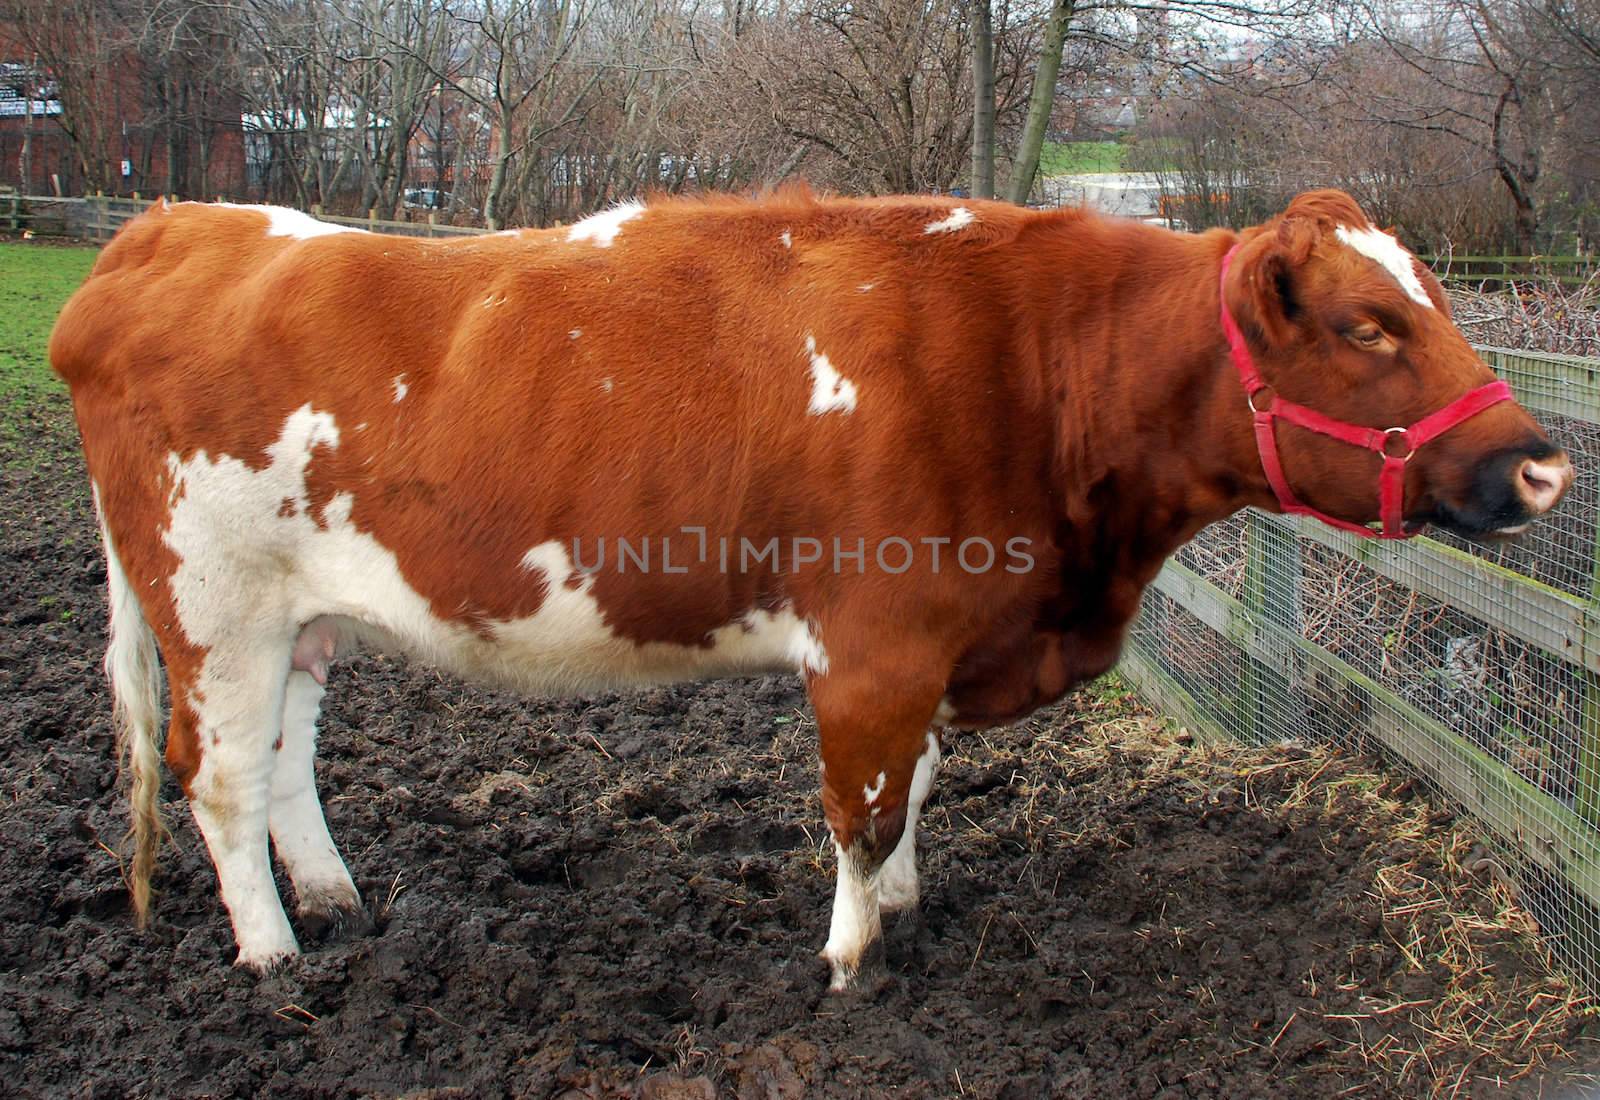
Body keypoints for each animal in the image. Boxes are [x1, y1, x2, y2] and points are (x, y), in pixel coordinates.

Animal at [53, 187, 1574, 991]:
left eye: (1433, 299)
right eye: (1369, 325)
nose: (1545, 461)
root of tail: (173, 226)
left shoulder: (937, 649)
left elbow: (919, 788)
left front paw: (899, 908)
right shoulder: (875, 647)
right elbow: (862, 806)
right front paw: (849, 962)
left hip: (300, 615)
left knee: (285, 756)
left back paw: (336, 901)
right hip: (214, 604)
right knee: (216, 774)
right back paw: (273, 960)